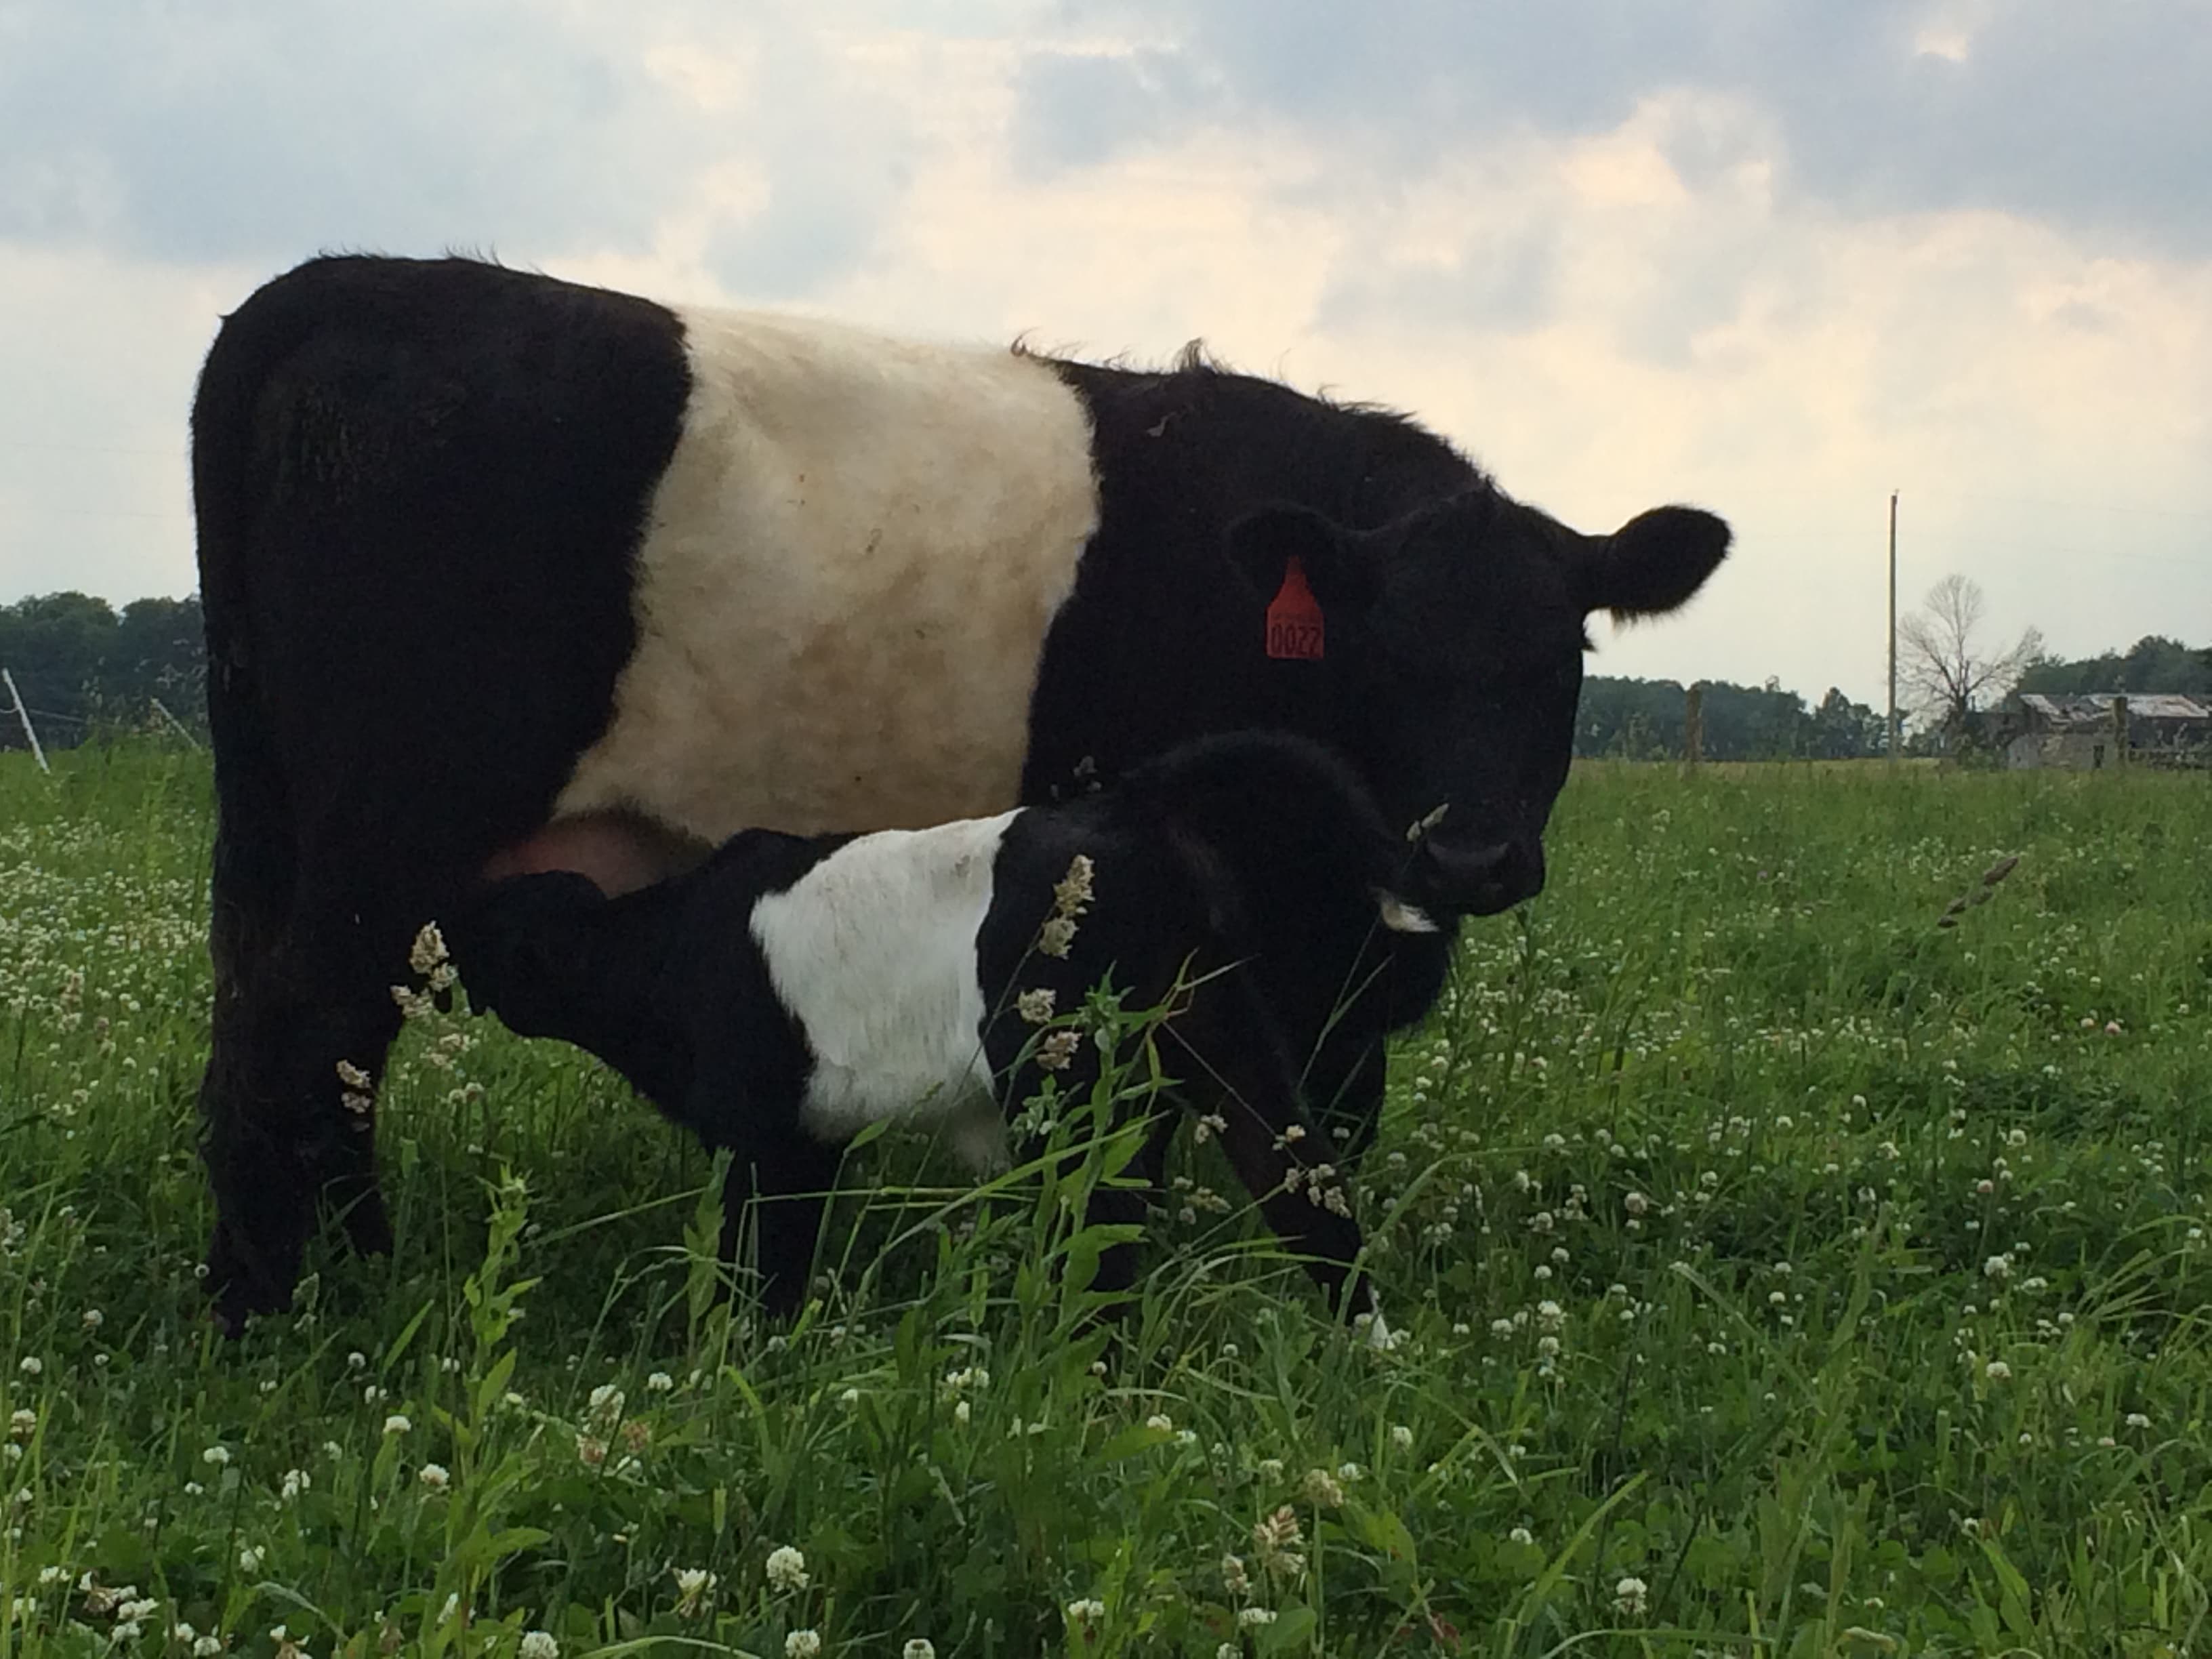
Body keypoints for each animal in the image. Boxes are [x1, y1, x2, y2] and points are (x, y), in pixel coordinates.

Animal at [445, 731, 1439, 1333]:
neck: (662, 953)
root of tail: (1131, 810)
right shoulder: (809, 1144)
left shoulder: (764, 1139)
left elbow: (757, 1270)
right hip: (1225, 1043)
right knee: (1309, 1194)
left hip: (1070, 1093)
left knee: (1105, 1252)